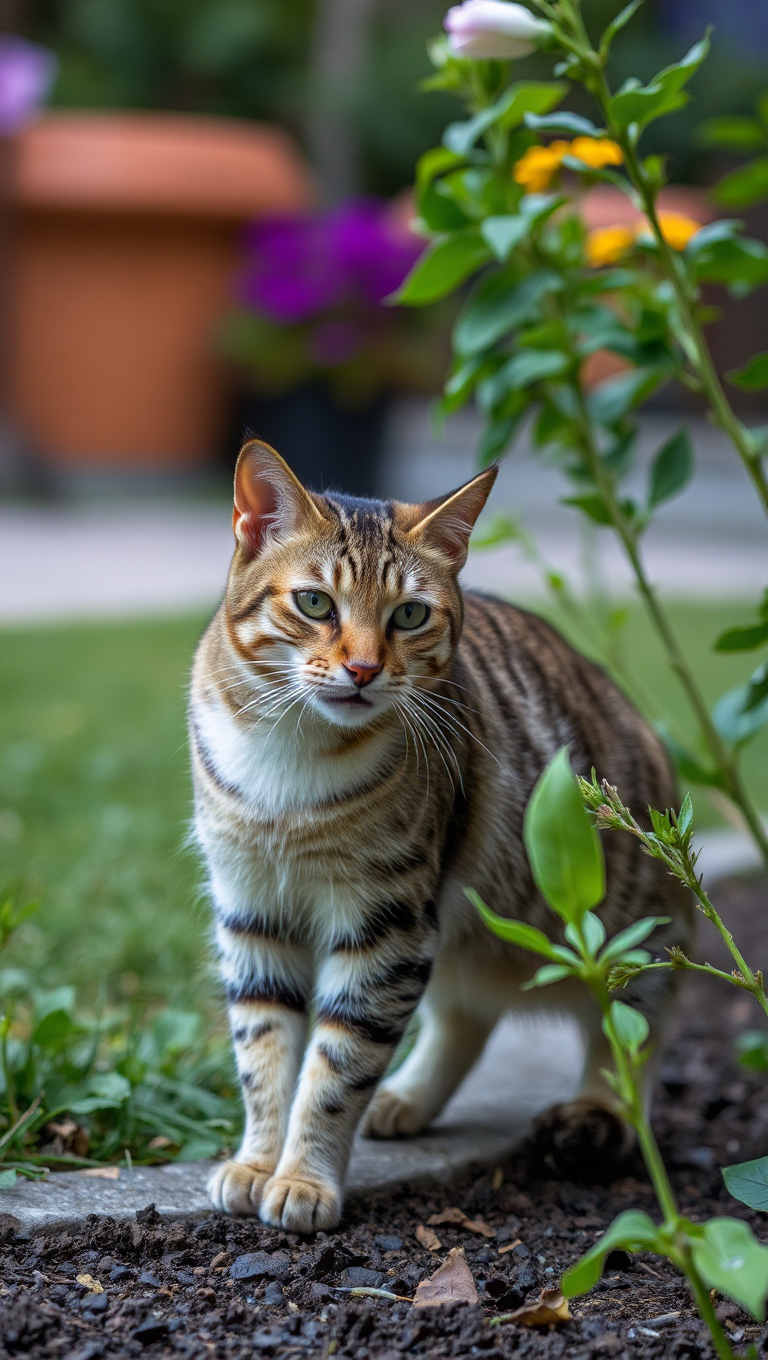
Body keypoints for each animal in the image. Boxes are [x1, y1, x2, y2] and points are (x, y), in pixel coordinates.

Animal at [188, 437, 690, 1234]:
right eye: (314, 602)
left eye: (410, 615)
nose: (363, 668)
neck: (289, 761)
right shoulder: (253, 911)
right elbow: (264, 1053)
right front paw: (258, 1160)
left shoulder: (386, 922)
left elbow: (337, 1064)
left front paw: (302, 1177)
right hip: (459, 929)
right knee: (465, 1017)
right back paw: (407, 1097)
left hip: (624, 936)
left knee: (629, 1037)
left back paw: (596, 1115)